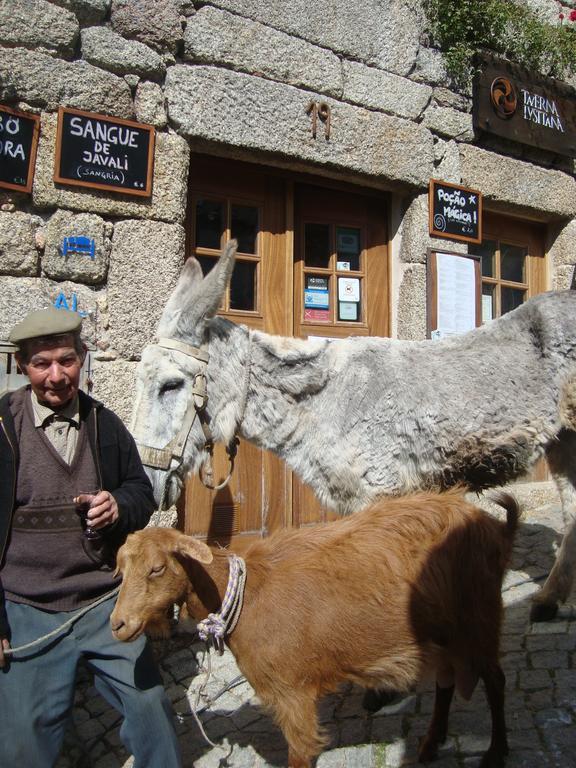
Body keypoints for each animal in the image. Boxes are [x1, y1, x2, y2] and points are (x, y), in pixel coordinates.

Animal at [110, 492, 520, 768]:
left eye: (157, 568)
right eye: (120, 570)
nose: (118, 625)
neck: (246, 594)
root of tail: (497, 528)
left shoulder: (293, 694)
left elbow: (301, 754)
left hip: (480, 617)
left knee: (496, 681)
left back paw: (496, 752)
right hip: (445, 631)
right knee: (447, 682)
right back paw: (432, 743)